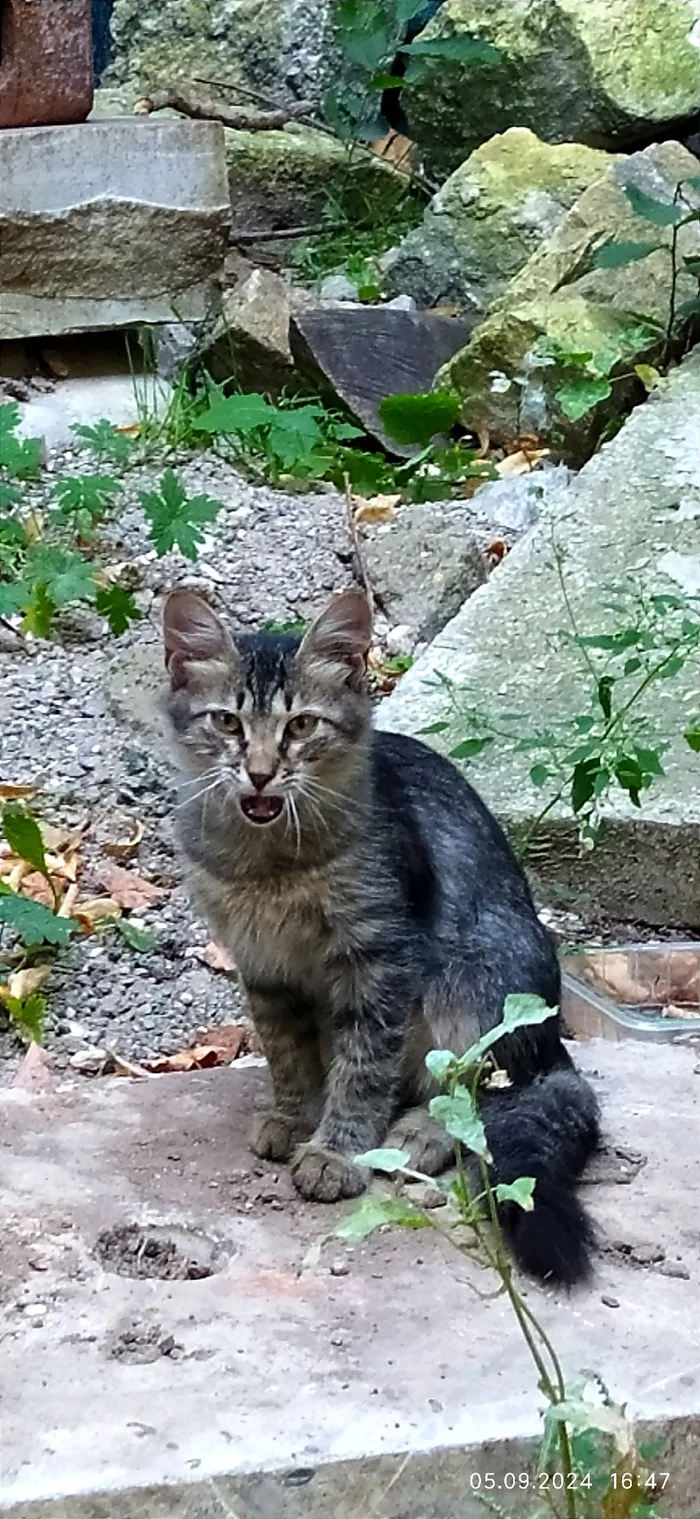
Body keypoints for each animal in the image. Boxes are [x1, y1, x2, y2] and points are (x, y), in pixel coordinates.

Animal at [160, 583, 598, 1282]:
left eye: (301, 726)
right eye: (227, 723)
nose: (259, 772)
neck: (270, 865)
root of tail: (556, 1044)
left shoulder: (380, 955)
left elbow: (362, 1067)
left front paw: (337, 1152)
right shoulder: (264, 966)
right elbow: (289, 1057)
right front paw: (295, 1118)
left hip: (475, 982)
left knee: (479, 1097)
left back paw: (419, 1134)